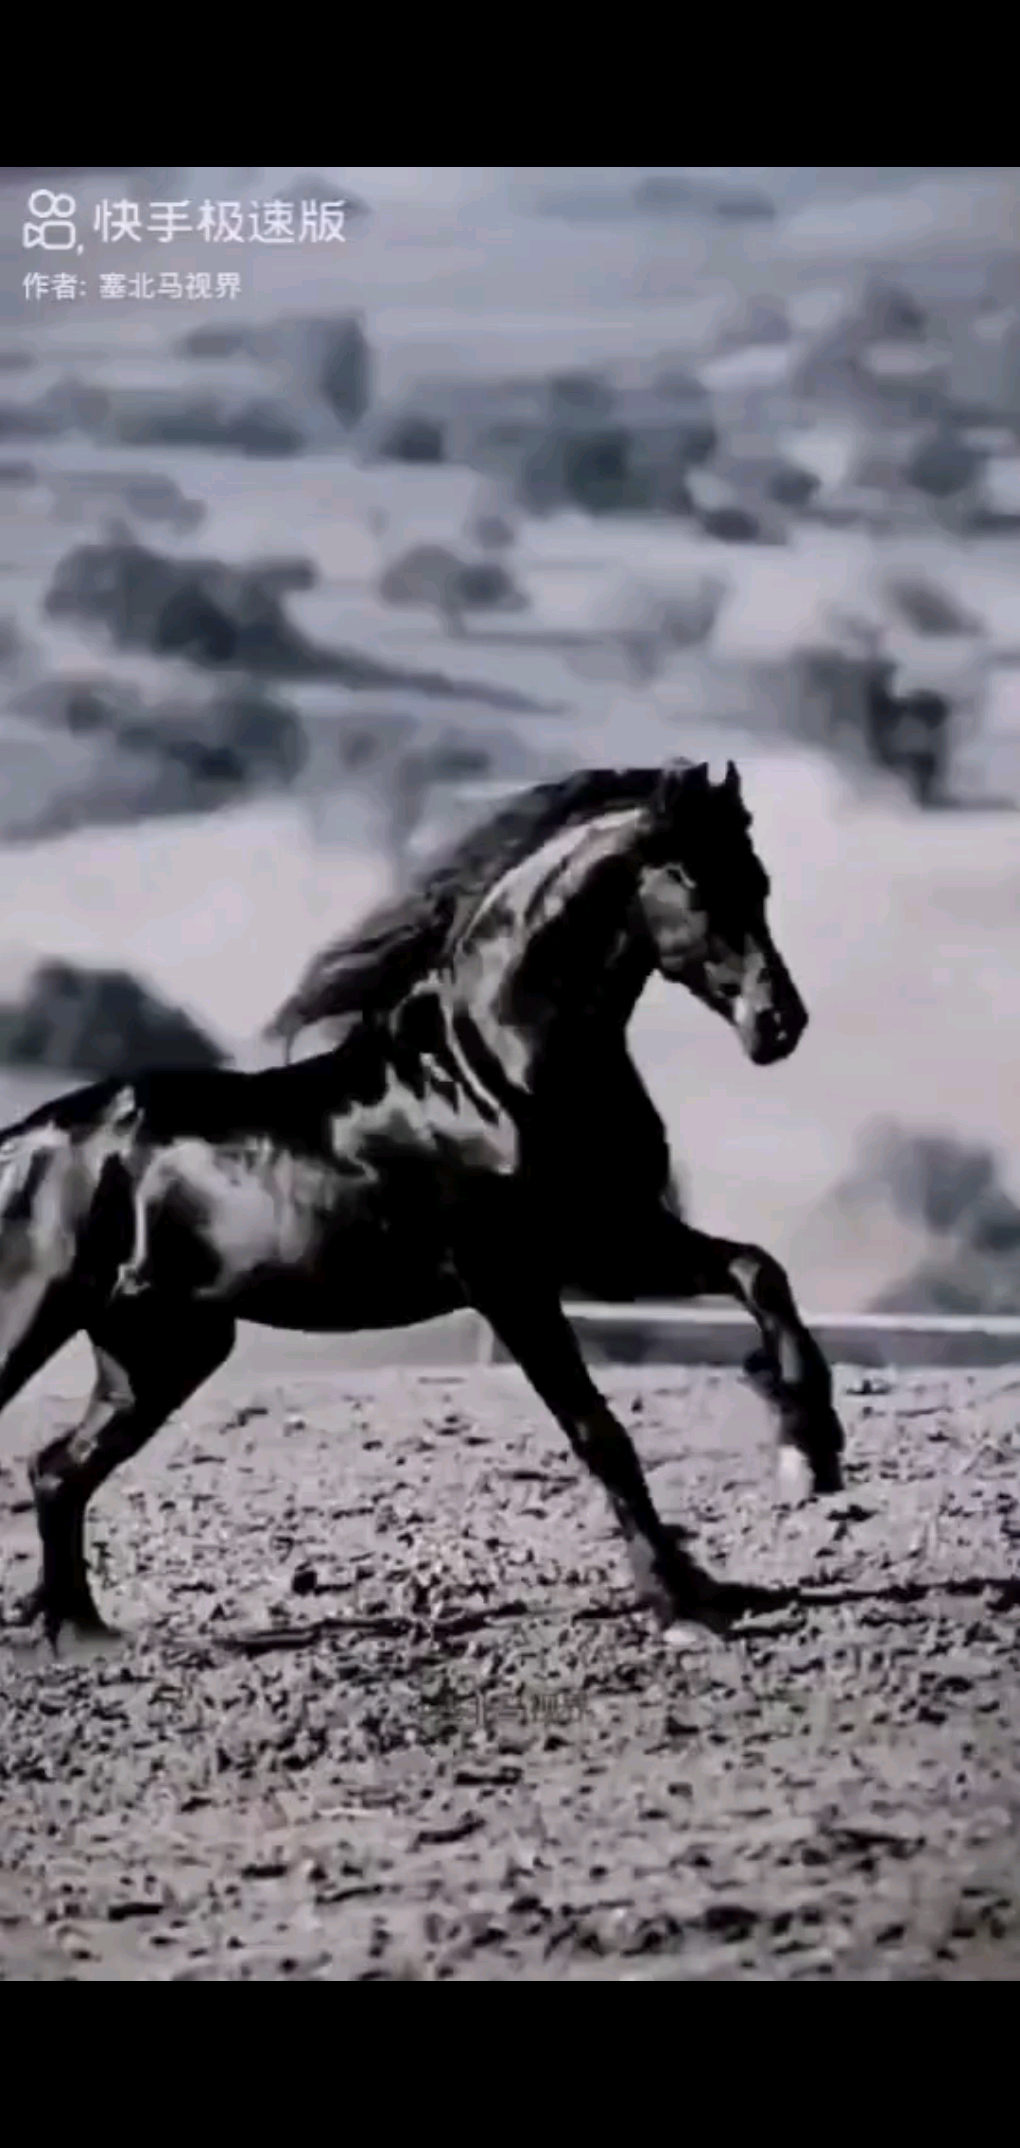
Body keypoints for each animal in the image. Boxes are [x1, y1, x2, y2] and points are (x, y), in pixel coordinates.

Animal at [0, 757, 845, 1651]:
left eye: (759, 880)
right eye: (697, 883)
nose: (778, 1024)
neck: (495, 1076)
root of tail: (27, 1142)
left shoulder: (612, 1243)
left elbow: (758, 1271)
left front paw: (807, 1453)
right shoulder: (511, 1279)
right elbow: (598, 1431)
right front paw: (681, 1602)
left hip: (163, 1350)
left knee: (57, 1469)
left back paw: (78, 1629)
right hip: (43, 1320)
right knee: (53, 1462)